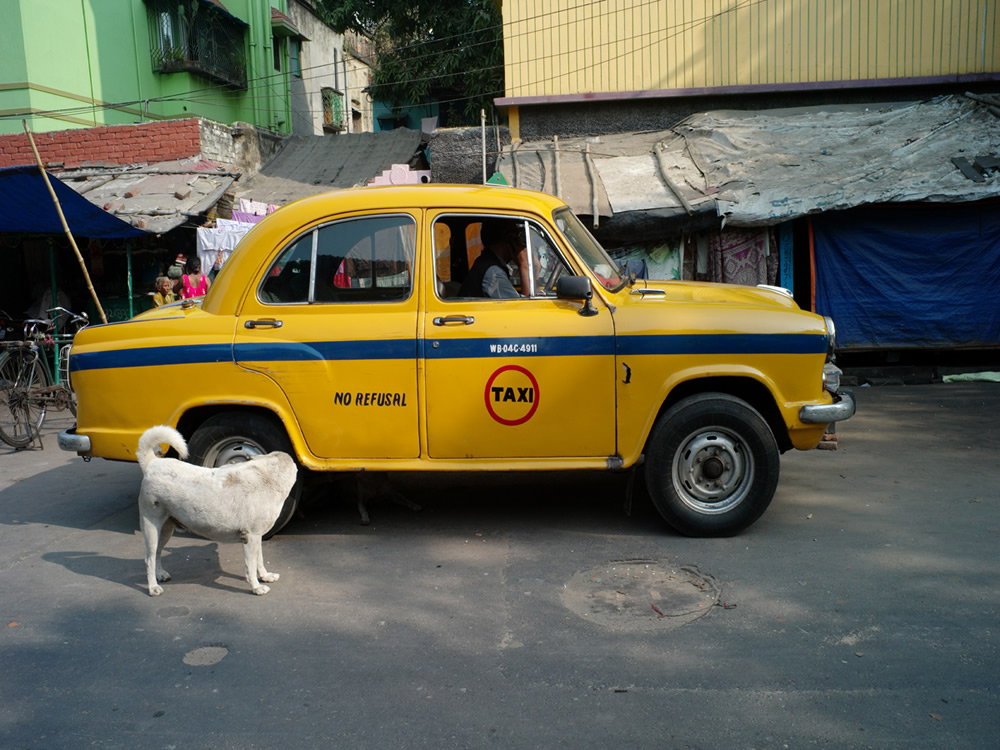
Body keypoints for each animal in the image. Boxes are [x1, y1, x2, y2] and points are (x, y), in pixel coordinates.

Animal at [139, 428, 298, 600]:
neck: (267, 476)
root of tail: (152, 463)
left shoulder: (258, 536)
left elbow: (259, 560)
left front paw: (265, 576)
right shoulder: (251, 537)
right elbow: (251, 564)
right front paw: (256, 587)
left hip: (166, 529)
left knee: (157, 553)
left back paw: (160, 574)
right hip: (151, 527)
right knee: (149, 558)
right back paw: (153, 587)